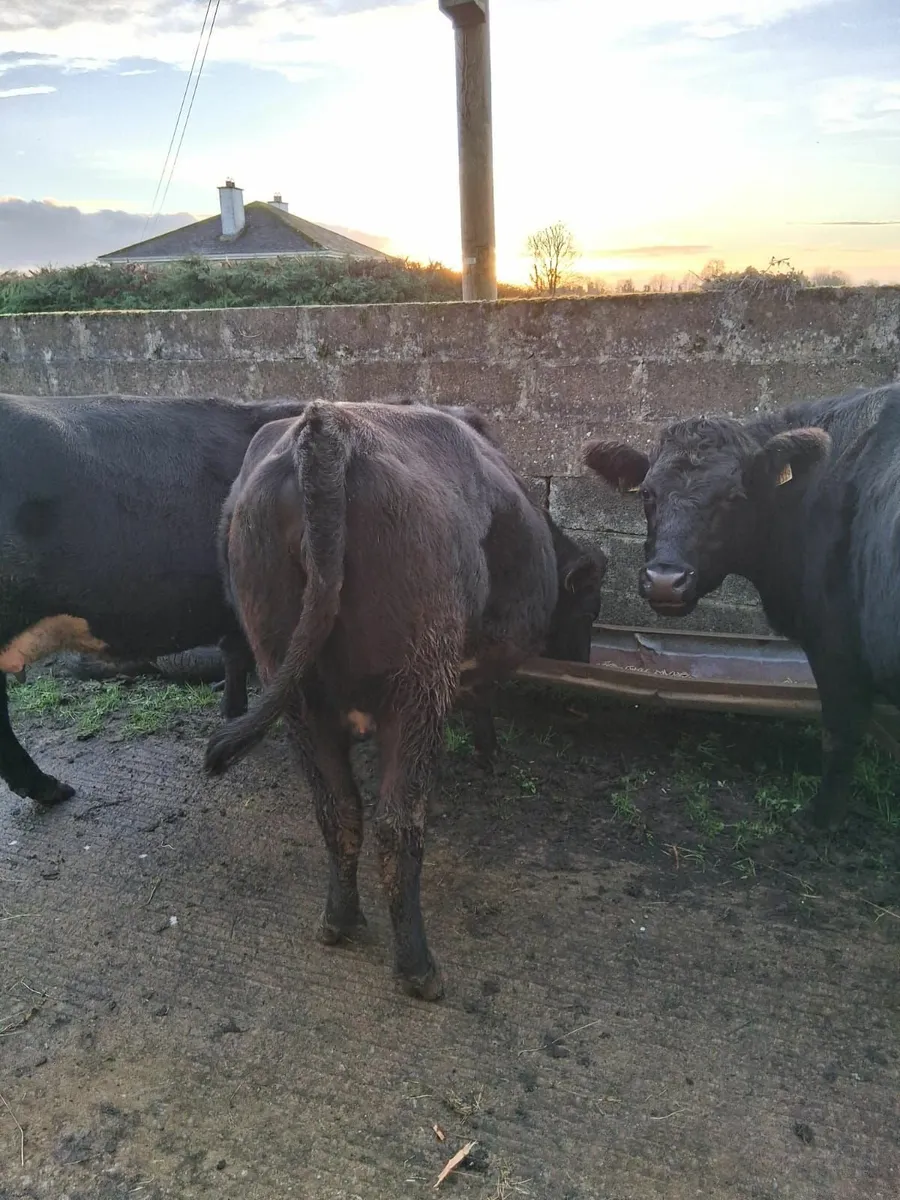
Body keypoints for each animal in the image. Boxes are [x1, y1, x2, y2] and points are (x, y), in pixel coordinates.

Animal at [204, 400, 606, 1000]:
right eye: (589, 609)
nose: (582, 667)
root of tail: (326, 429)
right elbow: (480, 707)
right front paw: (488, 754)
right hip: (415, 689)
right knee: (398, 824)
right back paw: (418, 966)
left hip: (294, 692)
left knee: (338, 809)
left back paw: (340, 920)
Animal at [583, 382, 900, 829]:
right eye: (646, 493)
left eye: (733, 496)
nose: (664, 580)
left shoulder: (836, 649)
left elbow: (838, 735)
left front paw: (819, 820)